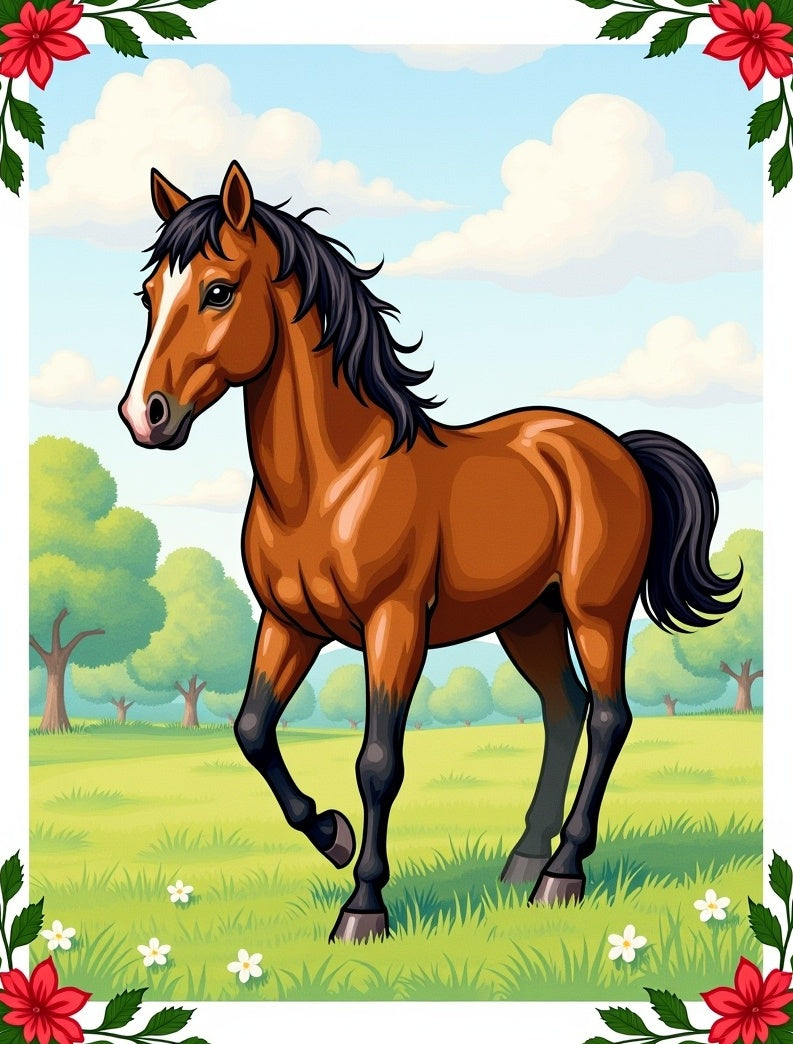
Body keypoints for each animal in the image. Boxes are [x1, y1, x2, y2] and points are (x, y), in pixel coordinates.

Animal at [119, 161, 741, 944]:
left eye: (218, 290)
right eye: (147, 295)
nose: (145, 416)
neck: (334, 483)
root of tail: (614, 448)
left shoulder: (395, 626)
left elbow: (378, 761)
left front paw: (363, 906)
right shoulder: (287, 624)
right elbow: (253, 730)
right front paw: (332, 835)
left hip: (594, 610)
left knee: (607, 717)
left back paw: (563, 873)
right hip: (528, 618)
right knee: (563, 710)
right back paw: (524, 860)